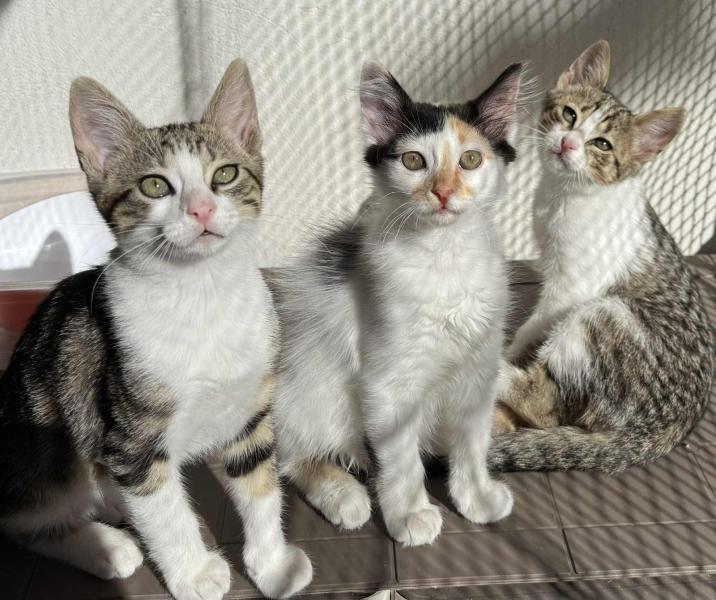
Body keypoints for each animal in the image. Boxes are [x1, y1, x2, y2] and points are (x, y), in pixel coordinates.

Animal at [0, 59, 312, 600]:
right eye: (154, 186)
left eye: (225, 174)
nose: (201, 209)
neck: (201, 295)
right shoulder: (132, 442)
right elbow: (165, 512)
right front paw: (194, 573)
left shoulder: (249, 414)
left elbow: (259, 485)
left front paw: (273, 565)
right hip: (46, 442)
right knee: (24, 520)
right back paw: (107, 547)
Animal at [272, 62, 523, 547]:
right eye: (413, 162)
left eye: (470, 160)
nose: (443, 194)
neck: (444, 258)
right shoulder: (389, 384)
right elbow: (402, 459)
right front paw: (410, 514)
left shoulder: (478, 368)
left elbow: (472, 443)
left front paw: (476, 497)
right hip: (314, 385)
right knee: (294, 456)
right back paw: (346, 496)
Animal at [490, 40, 714, 473]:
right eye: (569, 114)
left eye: (602, 145)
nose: (568, 143)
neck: (568, 193)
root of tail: (670, 428)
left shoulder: (571, 287)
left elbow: (535, 326)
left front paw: (510, 349)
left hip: (605, 315)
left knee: (545, 406)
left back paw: (499, 372)